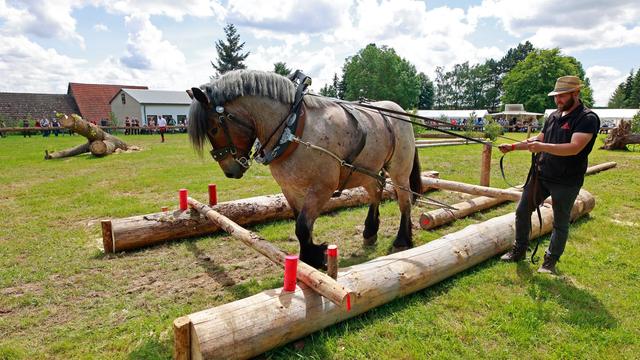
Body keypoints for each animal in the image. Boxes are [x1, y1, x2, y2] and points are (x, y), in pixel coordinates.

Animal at [188, 69, 422, 270]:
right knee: (376, 191)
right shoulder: (290, 189)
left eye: (214, 129)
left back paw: (402, 239)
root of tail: (399, 111)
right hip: (366, 171)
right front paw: (310, 257)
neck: (293, 128)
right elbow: (301, 224)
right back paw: (370, 231)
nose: (230, 171)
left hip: (399, 170)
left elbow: (302, 225)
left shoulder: (322, 188)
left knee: (404, 200)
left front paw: (315, 256)